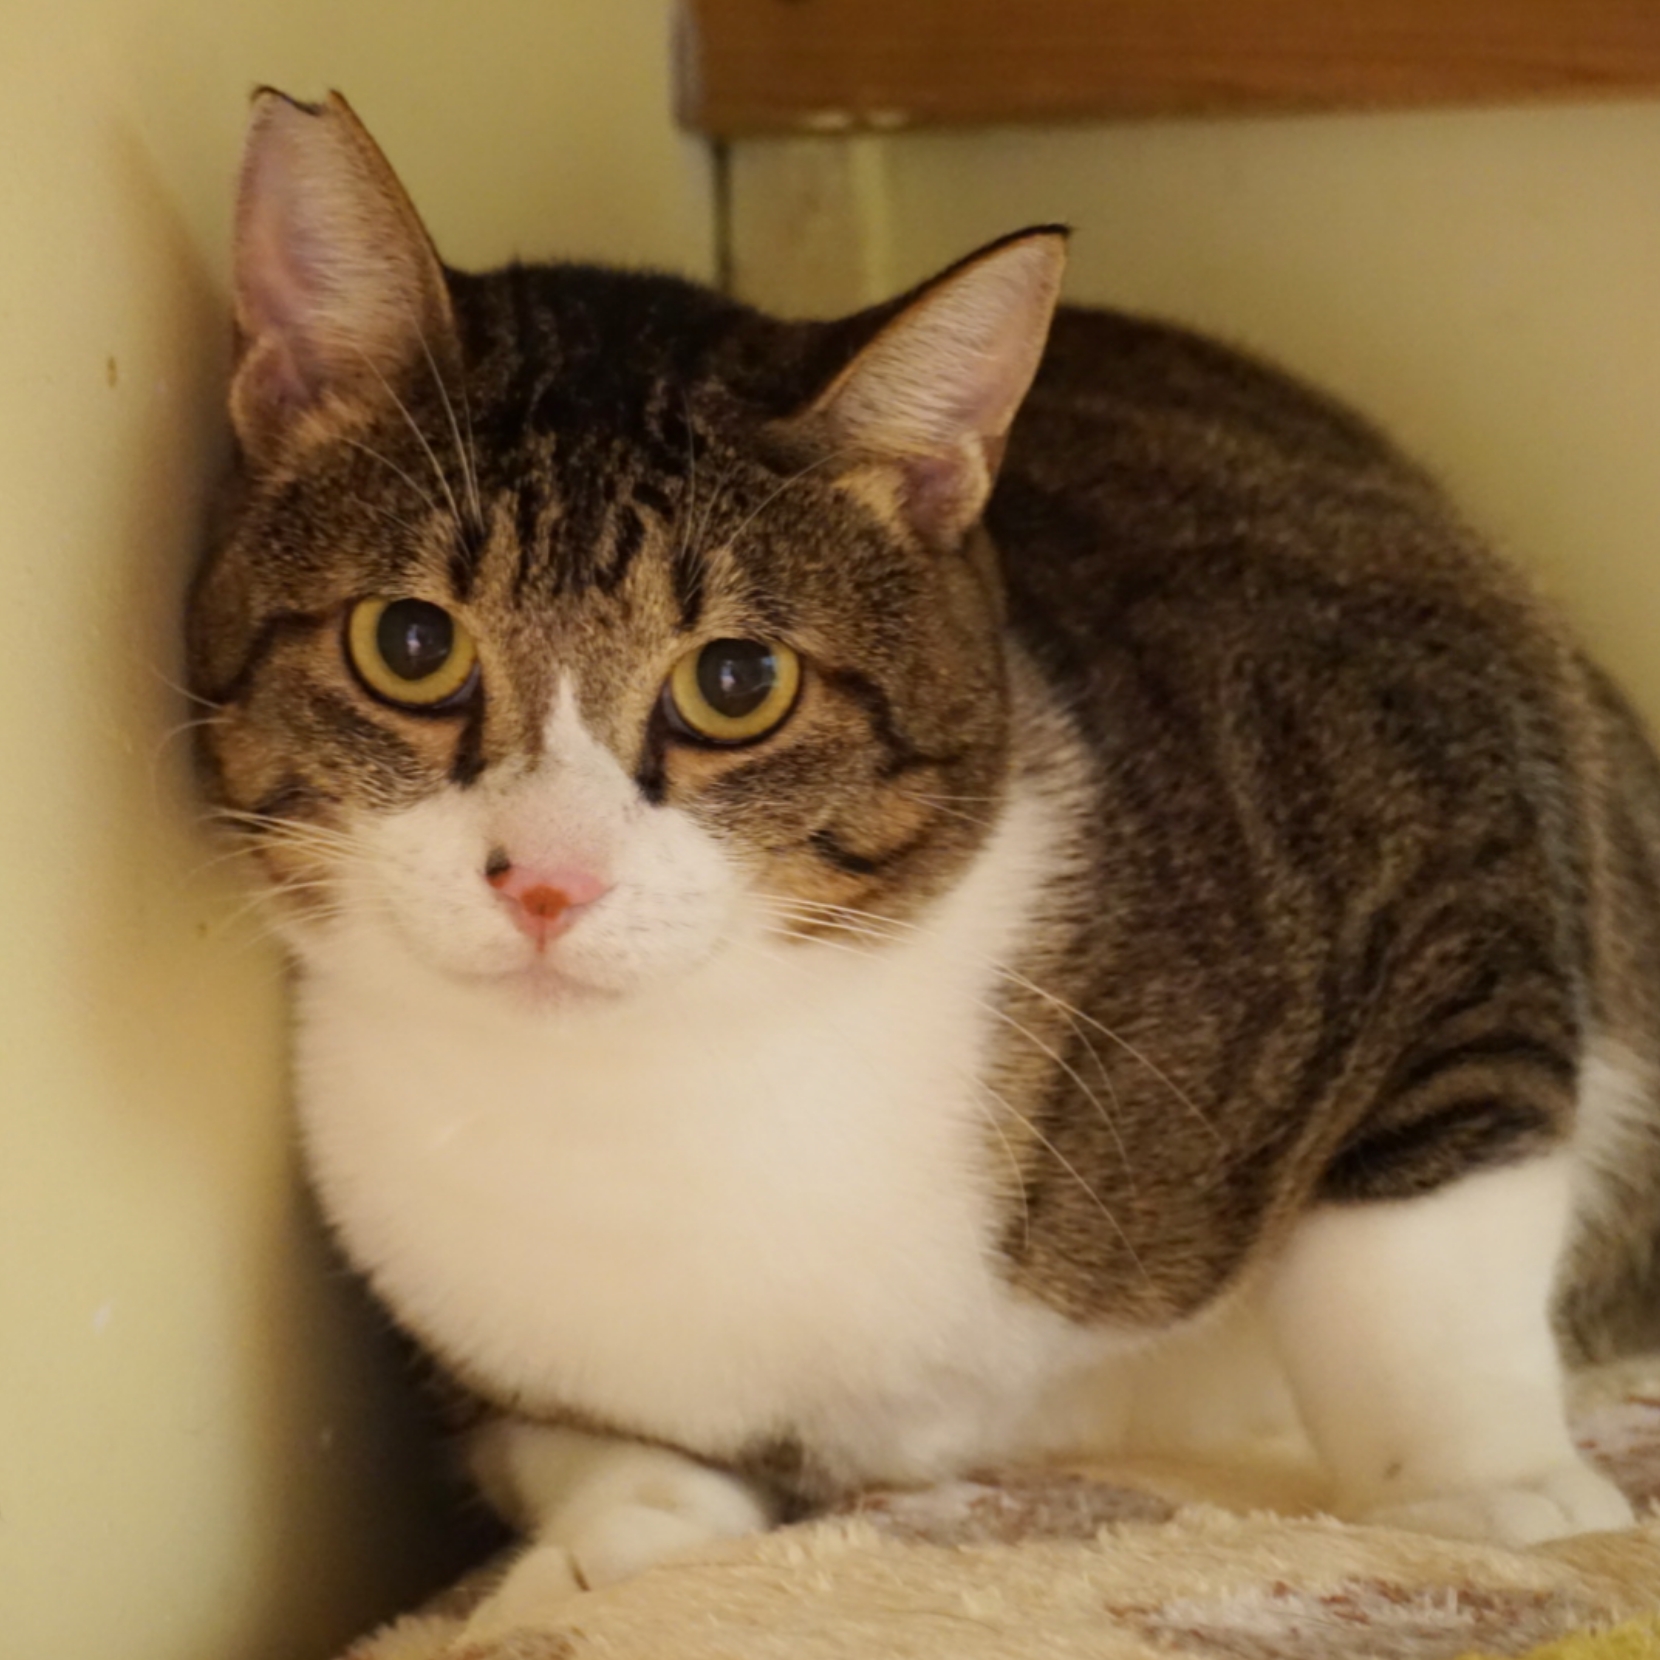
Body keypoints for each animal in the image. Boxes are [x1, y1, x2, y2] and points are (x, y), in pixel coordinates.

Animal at [189, 89, 1660, 1638]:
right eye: (410, 644)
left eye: (736, 681)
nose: (547, 879)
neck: (659, 1090)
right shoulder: (465, 1321)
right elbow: (575, 1441)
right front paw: (613, 1541)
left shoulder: (1433, 798)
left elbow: (1423, 1235)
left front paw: (1485, 1491)